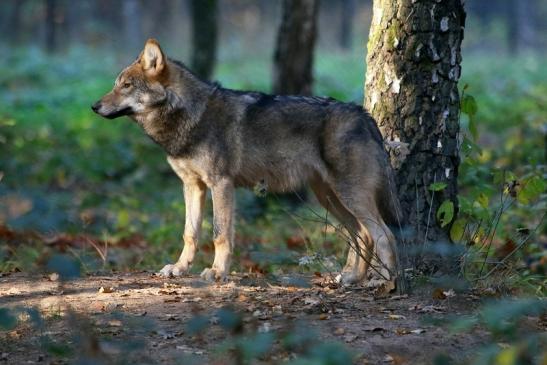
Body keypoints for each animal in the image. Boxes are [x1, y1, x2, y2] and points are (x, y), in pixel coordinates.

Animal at [92, 39, 402, 284]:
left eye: (126, 86)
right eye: (116, 85)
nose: (94, 106)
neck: (190, 116)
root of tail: (364, 115)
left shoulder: (221, 184)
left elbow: (219, 234)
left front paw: (217, 272)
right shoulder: (192, 186)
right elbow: (190, 233)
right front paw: (179, 269)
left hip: (348, 196)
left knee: (384, 234)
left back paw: (385, 283)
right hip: (330, 198)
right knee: (363, 235)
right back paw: (352, 277)